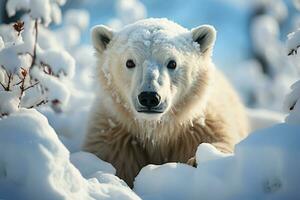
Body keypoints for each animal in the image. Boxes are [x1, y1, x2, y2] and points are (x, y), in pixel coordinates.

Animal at [83, 18, 250, 187]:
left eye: (172, 63)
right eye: (129, 62)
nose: (149, 97)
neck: (157, 130)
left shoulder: (202, 128)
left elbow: (220, 144)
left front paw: (198, 160)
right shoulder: (114, 137)